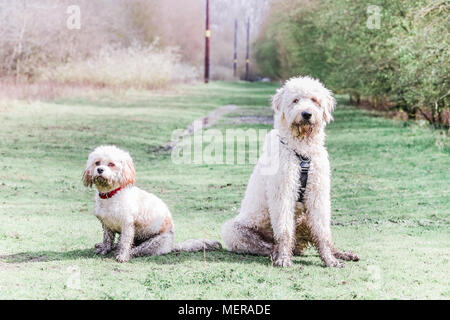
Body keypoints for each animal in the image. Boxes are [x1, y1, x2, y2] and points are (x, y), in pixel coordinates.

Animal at [83, 146, 221, 262]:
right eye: (97, 162)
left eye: (111, 164)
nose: (100, 169)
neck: (111, 195)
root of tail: (171, 245)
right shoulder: (106, 225)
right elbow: (107, 239)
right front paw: (104, 249)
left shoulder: (127, 226)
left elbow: (125, 242)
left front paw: (122, 256)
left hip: (152, 243)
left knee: (135, 250)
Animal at [221, 75, 358, 268]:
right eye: (295, 100)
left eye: (314, 100)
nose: (306, 114)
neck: (302, 151)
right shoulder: (283, 192)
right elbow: (284, 230)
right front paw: (283, 258)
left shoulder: (317, 194)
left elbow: (323, 233)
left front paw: (330, 259)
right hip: (233, 230)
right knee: (266, 244)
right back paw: (276, 252)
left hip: (305, 219)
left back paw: (340, 254)